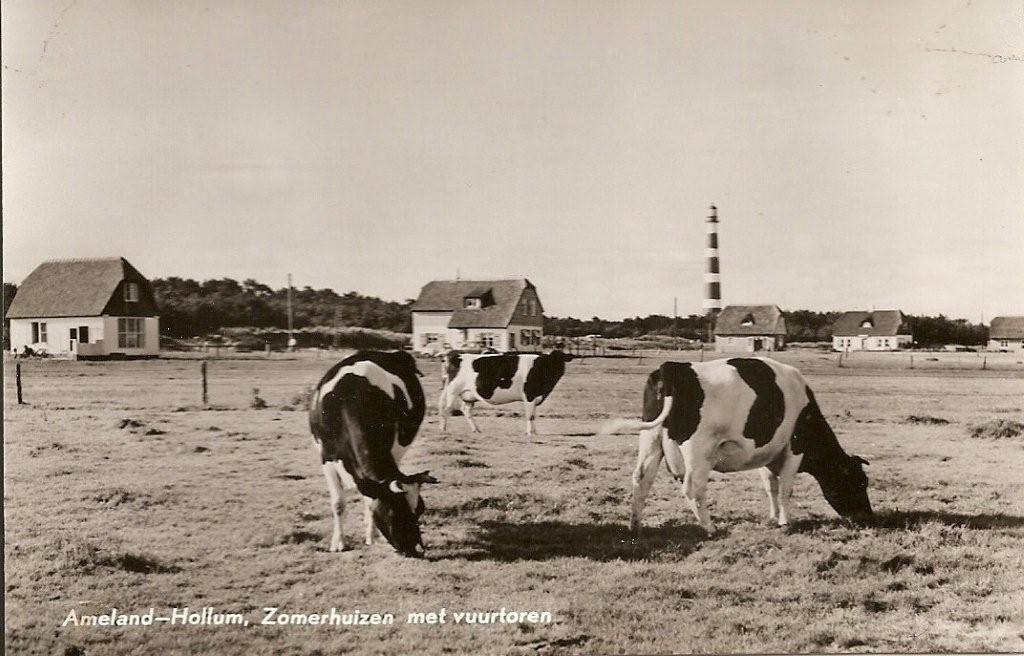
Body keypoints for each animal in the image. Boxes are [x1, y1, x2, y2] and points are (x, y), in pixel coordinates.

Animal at [307, 350, 436, 556]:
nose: (418, 550)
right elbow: (338, 503)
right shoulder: (326, 457)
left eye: (420, 510)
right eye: (394, 512)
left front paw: (371, 536)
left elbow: (370, 502)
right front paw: (338, 543)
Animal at [436, 347, 573, 433]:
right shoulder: (529, 395)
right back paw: (443, 429)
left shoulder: (535, 397)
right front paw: (530, 433)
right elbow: (530, 416)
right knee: (447, 409)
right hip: (453, 390)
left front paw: (534, 432)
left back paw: (476, 430)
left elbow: (533, 415)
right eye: (550, 361)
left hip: (469, 395)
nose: (558, 370)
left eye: (562, 360)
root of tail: (456, 355)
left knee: (465, 410)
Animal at [598, 358, 872, 532]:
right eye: (858, 482)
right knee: (693, 488)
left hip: (650, 438)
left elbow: (770, 486)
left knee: (641, 479)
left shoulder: (766, 453)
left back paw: (635, 526)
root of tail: (673, 367)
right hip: (698, 450)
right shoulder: (795, 447)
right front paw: (786, 521)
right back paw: (710, 528)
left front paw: (773, 518)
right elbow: (786, 487)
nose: (868, 518)